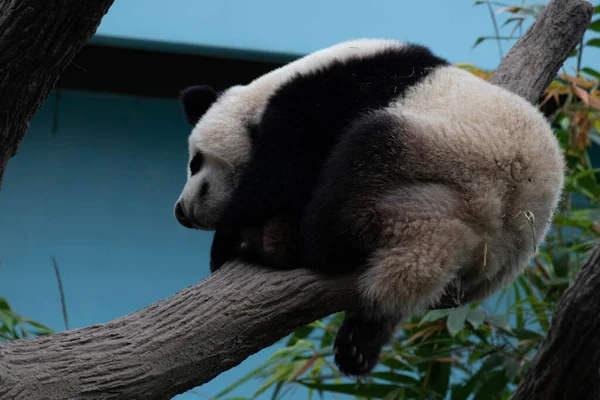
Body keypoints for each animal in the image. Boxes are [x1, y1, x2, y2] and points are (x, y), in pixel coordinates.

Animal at [172, 37, 564, 376]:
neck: (263, 93)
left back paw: (274, 243)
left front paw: (225, 240)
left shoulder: (324, 101)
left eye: (195, 162)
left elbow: (280, 173)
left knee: (356, 162)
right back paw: (360, 344)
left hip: (434, 157)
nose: (180, 212)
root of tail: (484, 233)